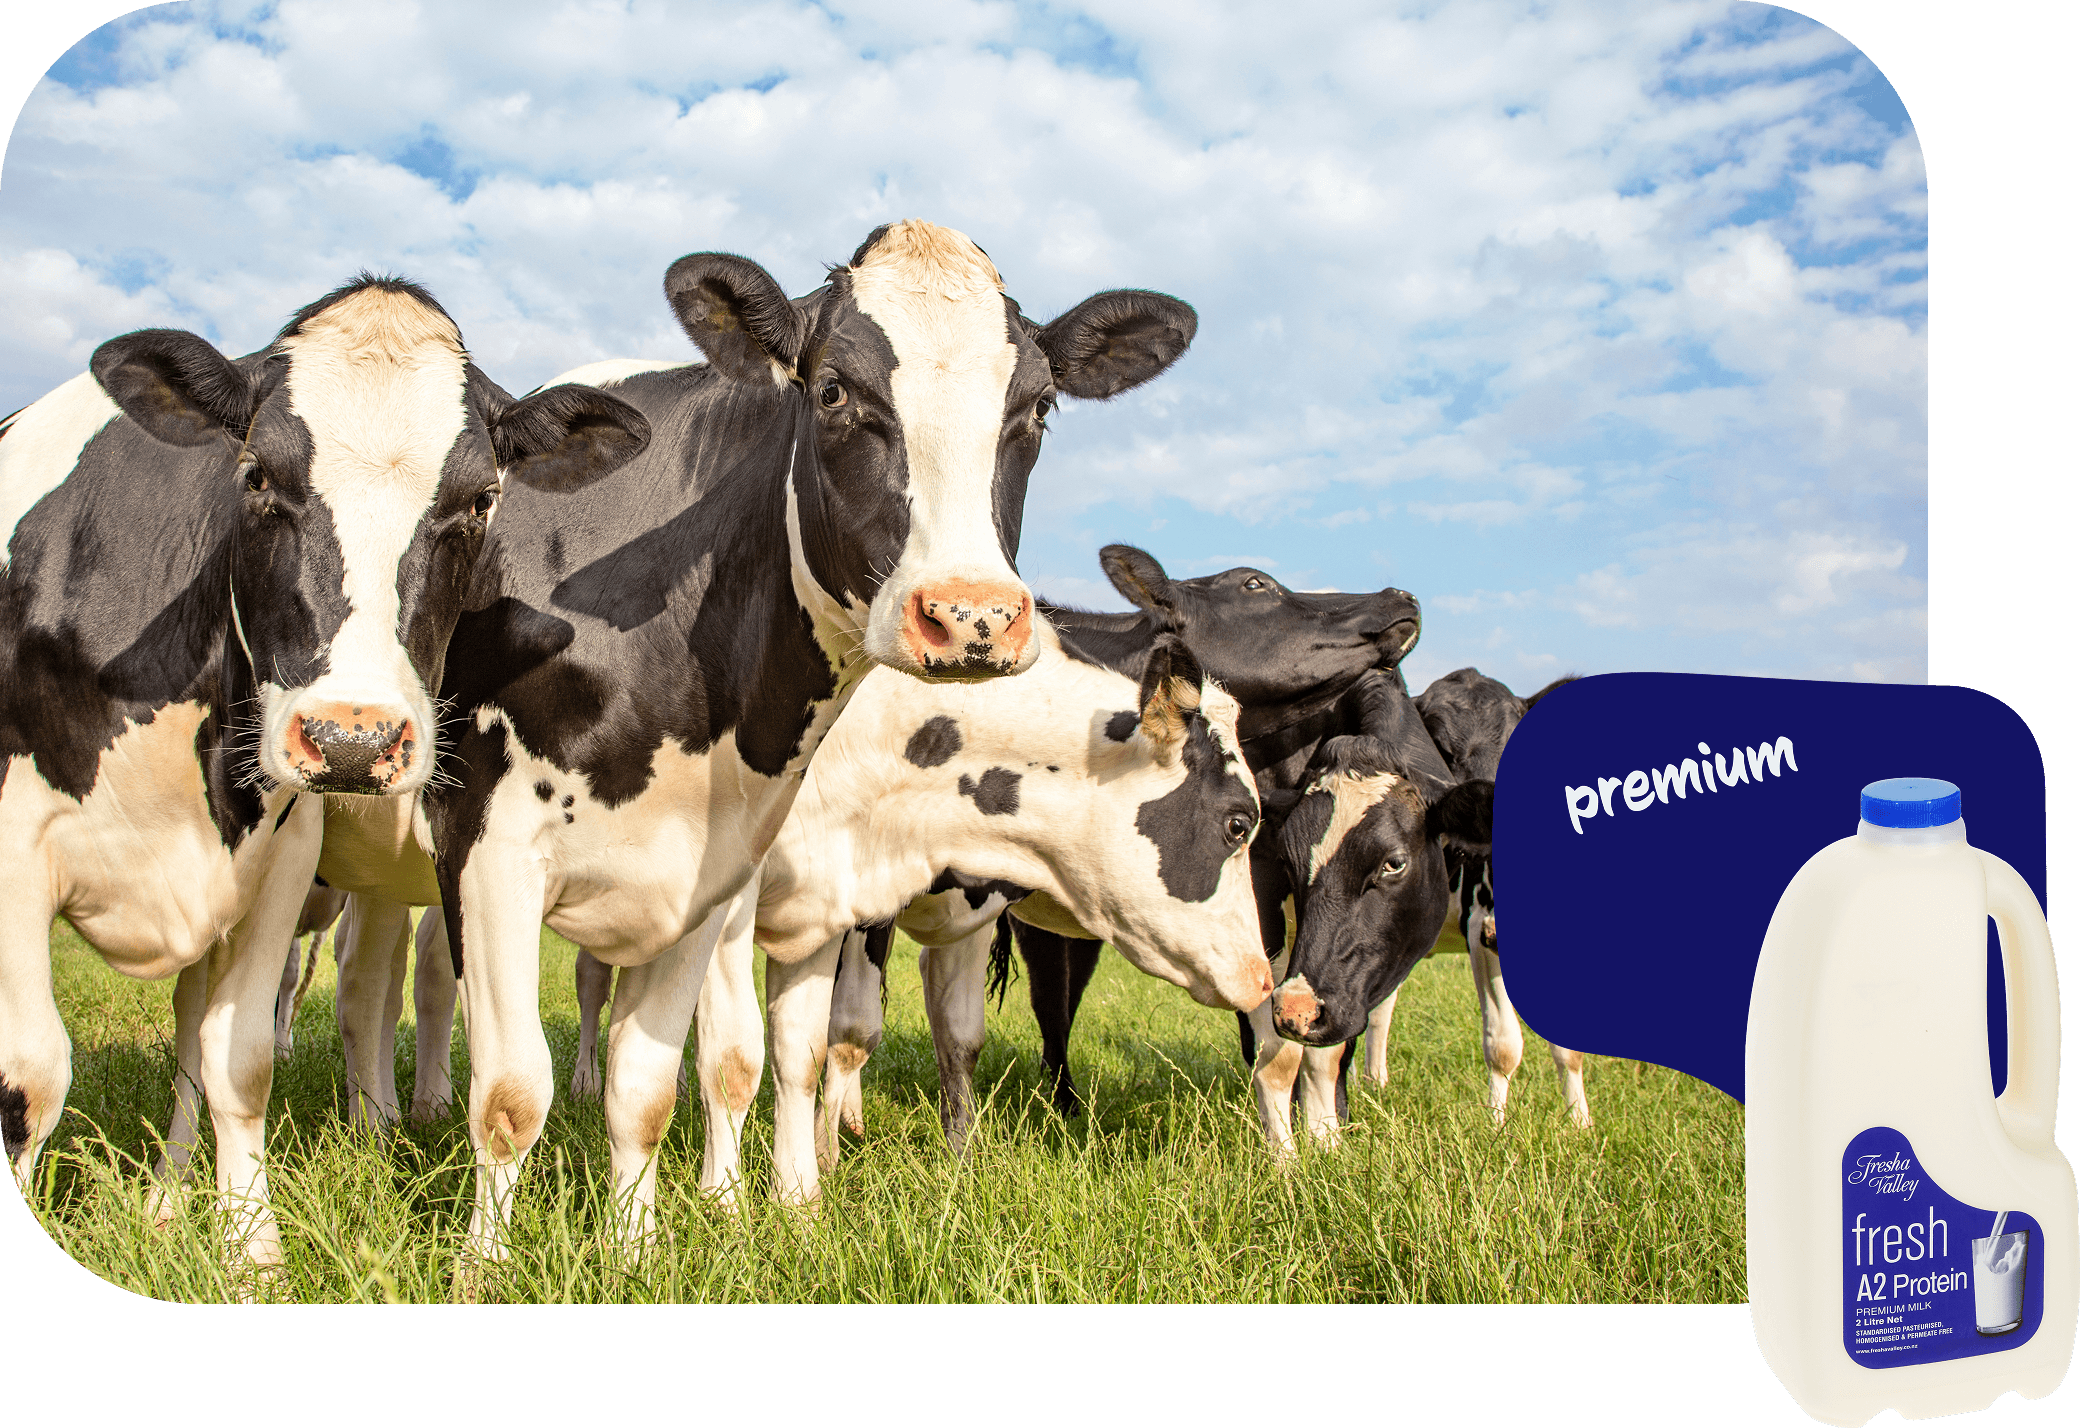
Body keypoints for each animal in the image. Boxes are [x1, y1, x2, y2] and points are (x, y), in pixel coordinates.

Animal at [1, 276, 648, 1261]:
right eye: (256, 477)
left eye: (479, 500)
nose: (352, 741)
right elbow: (29, 1076)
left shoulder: (274, 856)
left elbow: (237, 1063)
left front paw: (252, 1255)